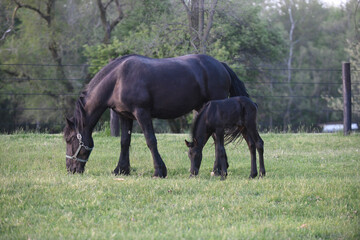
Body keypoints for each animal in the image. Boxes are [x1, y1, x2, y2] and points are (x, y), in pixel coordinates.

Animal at [64, 54, 248, 178]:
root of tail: (221, 65)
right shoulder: (125, 116)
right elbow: (124, 142)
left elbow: (151, 141)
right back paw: (219, 169)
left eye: (69, 139)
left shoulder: (142, 113)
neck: (118, 79)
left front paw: (159, 171)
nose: (70, 169)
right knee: (216, 138)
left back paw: (218, 170)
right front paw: (121, 170)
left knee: (217, 138)